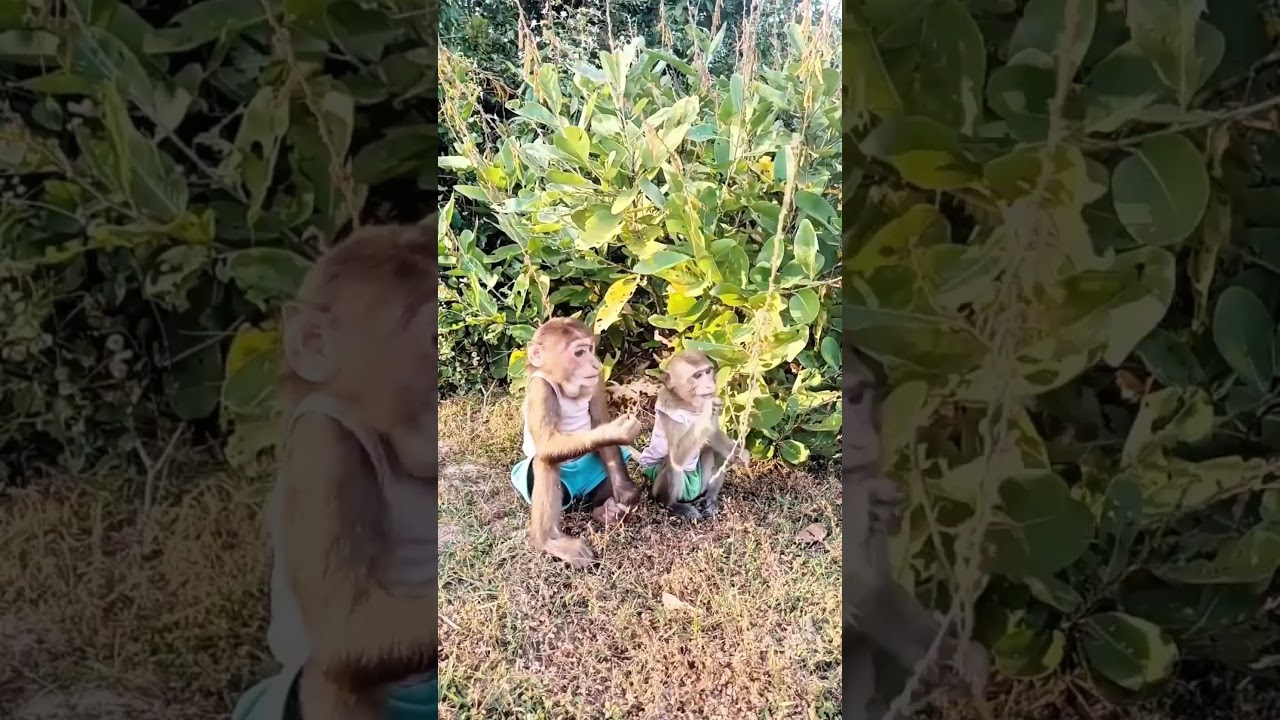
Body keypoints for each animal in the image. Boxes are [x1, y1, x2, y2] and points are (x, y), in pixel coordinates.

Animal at [508, 317, 644, 569]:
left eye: (590, 349)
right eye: (579, 353)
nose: (594, 363)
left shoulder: (597, 381)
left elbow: (599, 420)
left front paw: (624, 491)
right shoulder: (540, 389)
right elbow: (547, 443)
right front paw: (616, 430)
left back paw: (607, 510)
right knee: (545, 461)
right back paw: (548, 541)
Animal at [635, 350, 749, 521]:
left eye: (708, 372)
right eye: (697, 375)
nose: (709, 384)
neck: (687, 403)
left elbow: (713, 434)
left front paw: (741, 453)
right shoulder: (669, 409)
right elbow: (677, 456)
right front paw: (708, 408)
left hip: (701, 483)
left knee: (715, 451)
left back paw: (710, 498)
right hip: (661, 486)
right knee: (672, 464)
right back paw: (674, 505)